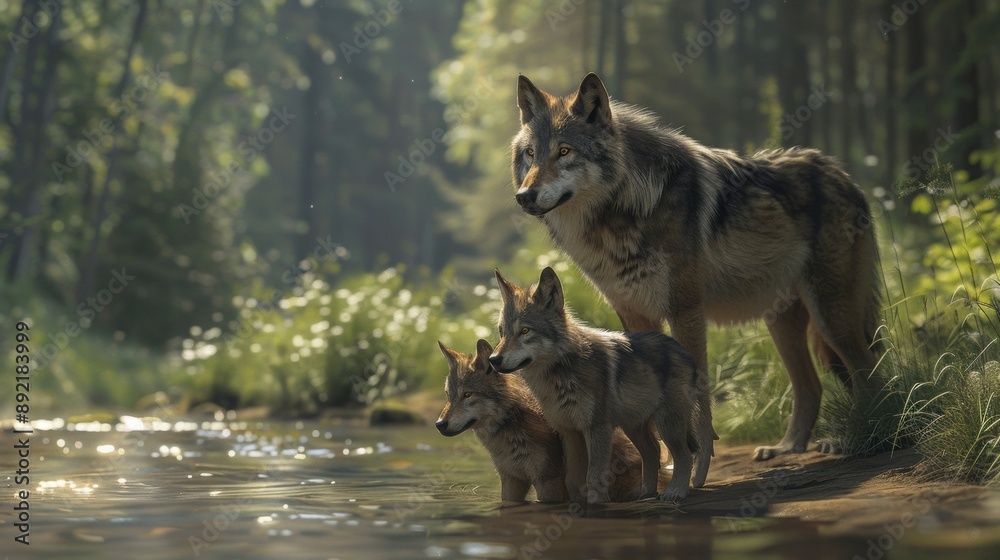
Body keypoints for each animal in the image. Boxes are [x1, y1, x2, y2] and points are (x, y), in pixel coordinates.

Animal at [488, 267, 700, 503]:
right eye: (502, 333)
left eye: (525, 331)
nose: (493, 360)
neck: (560, 375)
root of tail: (684, 352)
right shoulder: (570, 432)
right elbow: (573, 479)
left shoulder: (597, 428)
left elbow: (594, 476)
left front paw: (596, 504)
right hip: (634, 426)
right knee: (653, 452)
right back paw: (645, 493)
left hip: (667, 424)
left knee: (684, 455)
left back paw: (675, 492)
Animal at [510, 73, 883, 467]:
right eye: (531, 154)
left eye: (565, 152)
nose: (524, 196)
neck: (619, 214)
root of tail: (843, 173)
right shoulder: (634, 314)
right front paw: (664, 463)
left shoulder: (685, 310)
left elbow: (698, 390)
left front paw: (695, 458)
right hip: (782, 322)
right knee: (811, 385)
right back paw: (788, 447)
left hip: (831, 318)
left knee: (869, 371)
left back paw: (861, 438)